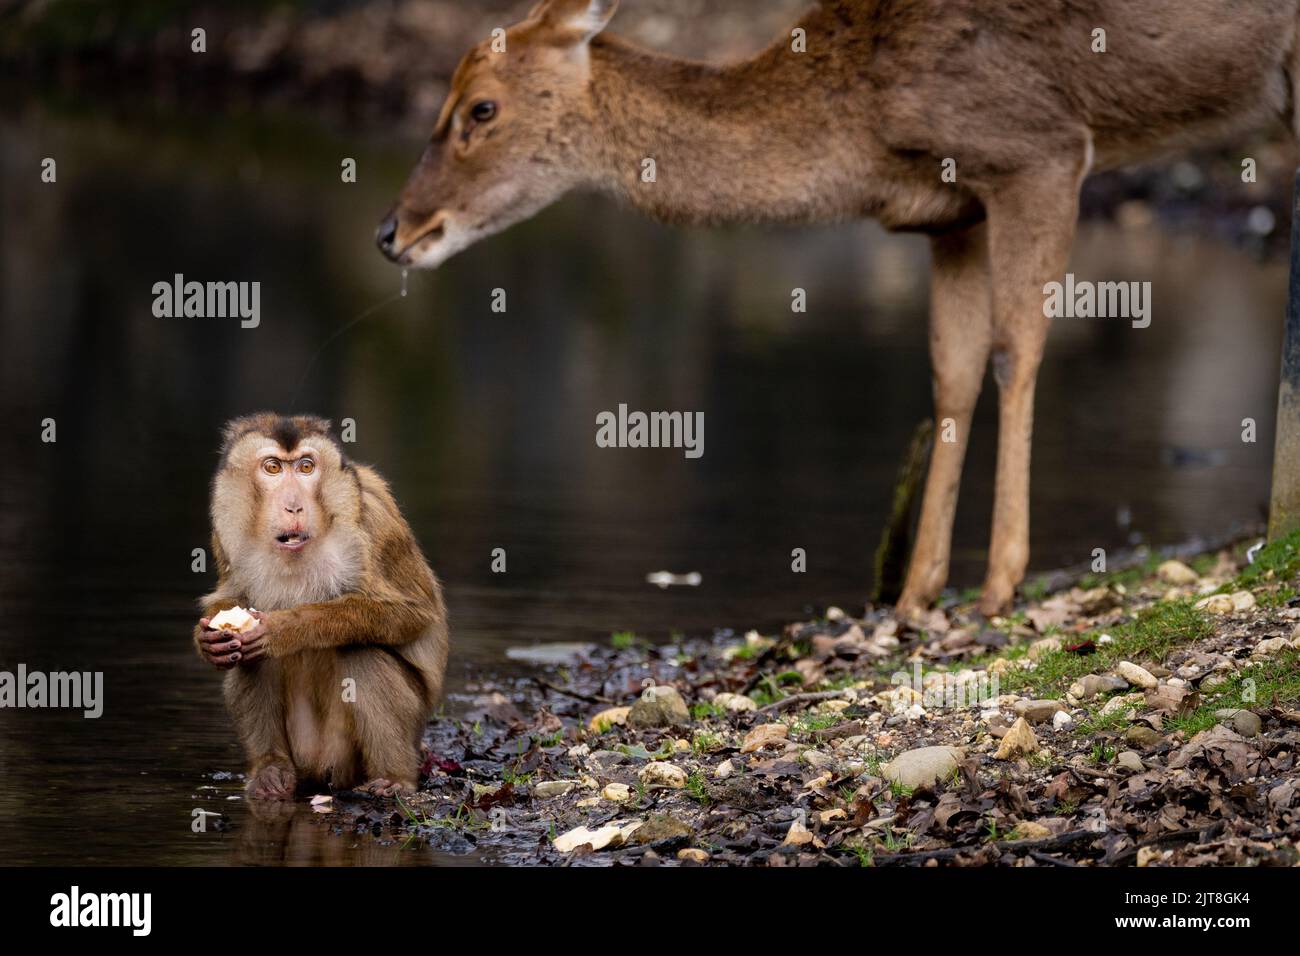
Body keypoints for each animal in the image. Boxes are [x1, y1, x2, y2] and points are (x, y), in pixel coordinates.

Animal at [191, 413, 447, 801]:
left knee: (362, 651)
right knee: (248, 660)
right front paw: (207, 640)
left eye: (306, 467)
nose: (294, 506)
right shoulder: (225, 531)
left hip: (350, 754)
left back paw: (394, 777)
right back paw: (270, 769)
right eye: (272, 468)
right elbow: (232, 598)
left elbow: (412, 613)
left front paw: (286, 628)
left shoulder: (374, 517)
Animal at [374, 0, 1300, 613]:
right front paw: (917, 592)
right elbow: (952, 371)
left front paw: (1001, 580)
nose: (393, 231)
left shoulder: (1039, 148)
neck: (861, 129)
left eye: (480, 108)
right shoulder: (950, 213)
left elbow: (1016, 347)